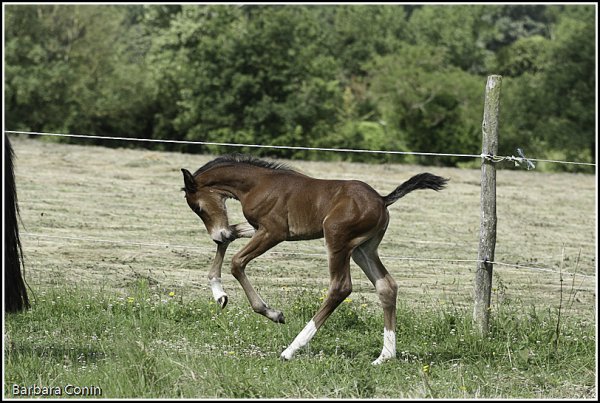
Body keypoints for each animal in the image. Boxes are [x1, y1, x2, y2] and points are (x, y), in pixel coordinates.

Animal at [180, 155, 448, 366]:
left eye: (199, 208)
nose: (216, 234)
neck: (258, 184)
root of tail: (383, 199)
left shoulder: (274, 231)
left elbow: (237, 262)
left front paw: (272, 313)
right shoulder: (258, 228)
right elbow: (231, 238)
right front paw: (220, 295)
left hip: (337, 238)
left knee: (340, 288)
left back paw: (291, 349)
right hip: (363, 249)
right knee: (386, 286)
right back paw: (385, 356)